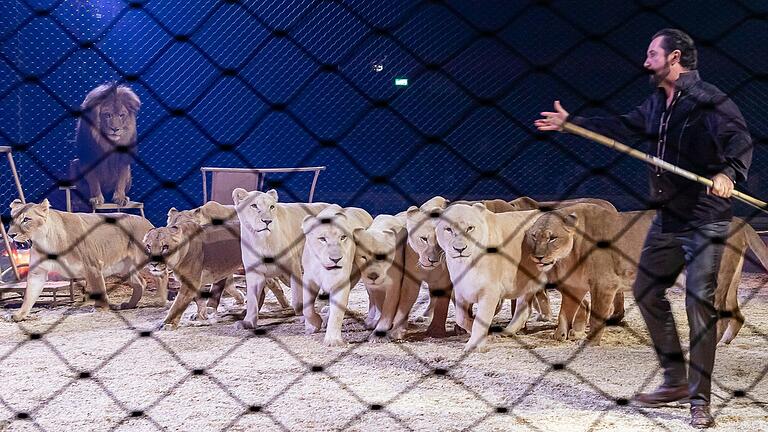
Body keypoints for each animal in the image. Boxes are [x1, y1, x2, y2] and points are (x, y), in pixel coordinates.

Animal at [7, 199, 166, 320]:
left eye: (26, 219)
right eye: (11, 221)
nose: (10, 235)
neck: (43, 240)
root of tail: (148, 223)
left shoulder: (92, 265)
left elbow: (98, 287)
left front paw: (100, 308)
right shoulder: (37, 272)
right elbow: (29, 295)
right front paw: (19, 315)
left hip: (146, 260)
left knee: (162, 275)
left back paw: (160, 300)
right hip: (125, 266)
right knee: (141, 283)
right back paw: (129, 305)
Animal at [300, 204, 372, 346]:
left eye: (343, 237)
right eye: (322, 239)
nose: (336, 259)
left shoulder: (341, 282)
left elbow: (337, 313)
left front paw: (333, 340)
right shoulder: (309, 280)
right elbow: (307, 308)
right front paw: (314, 324)